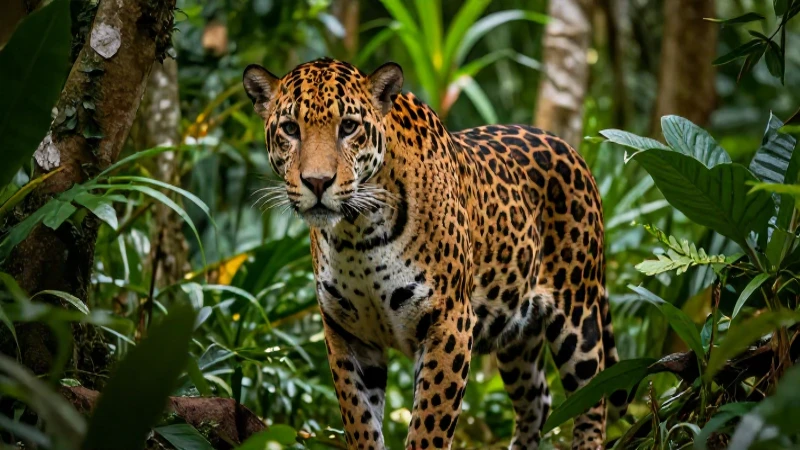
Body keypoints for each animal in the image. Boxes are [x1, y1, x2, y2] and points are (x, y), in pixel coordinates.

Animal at [243, 58, 627, 450]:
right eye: (290, 129)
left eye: (348, 127)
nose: (317, 182)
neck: (357, 234)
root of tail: (572, 150)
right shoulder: (346, 332)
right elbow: (359, 420)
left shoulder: (449, 322)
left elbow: (430, 423)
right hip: (518, 335)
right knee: (537, 400)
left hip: (578, 315)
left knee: (592, 398)